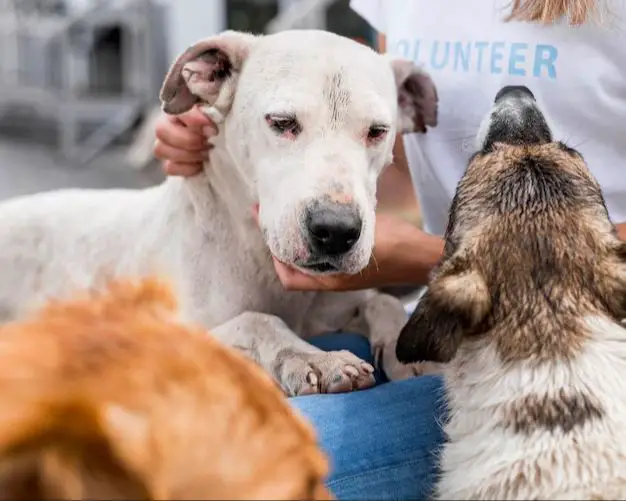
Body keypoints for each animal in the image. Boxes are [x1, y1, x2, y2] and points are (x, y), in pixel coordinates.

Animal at [0, 30, 438, 394]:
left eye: (378, 131)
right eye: (281, 122)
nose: (336, 230)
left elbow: (383, 302)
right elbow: (258, 321)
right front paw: (314, 359)